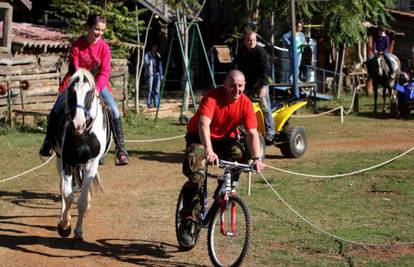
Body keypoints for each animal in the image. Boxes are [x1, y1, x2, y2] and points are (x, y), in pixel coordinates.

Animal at [52, 68, 112, 242]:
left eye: (90, 92)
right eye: (71, 91)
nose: (77, 124)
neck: (84, 133)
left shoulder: (91, 163)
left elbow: (82, 201)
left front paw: (78, 232)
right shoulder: (66, 160)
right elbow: (68, 195)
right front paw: (64, 225)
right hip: (59, 159)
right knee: (62, 187)